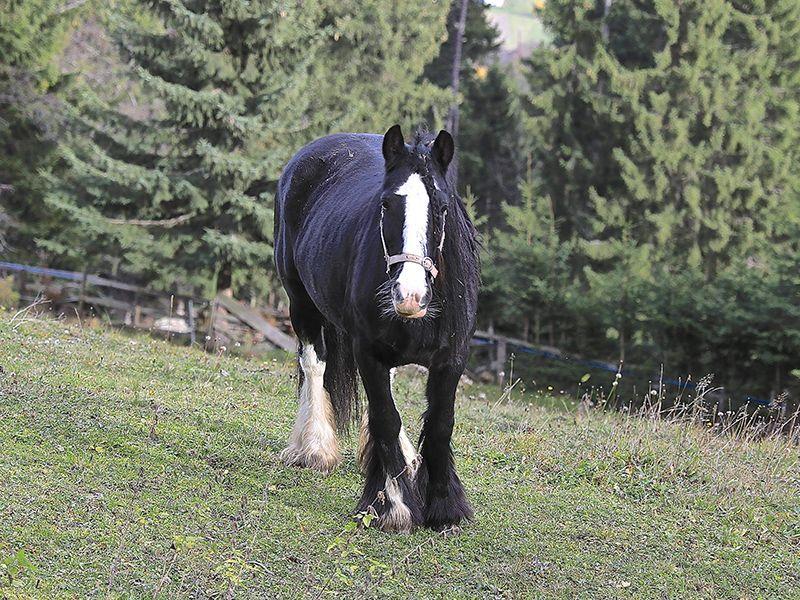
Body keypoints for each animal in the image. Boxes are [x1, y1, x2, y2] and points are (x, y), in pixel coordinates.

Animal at [273, 124, 480, 532]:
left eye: (442, 207)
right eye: (385, 205)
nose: (409, 295)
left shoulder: (452, 357)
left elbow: (440, 423)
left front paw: (445, 507)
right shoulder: (367, 352)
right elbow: (386, 416)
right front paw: (393, 506)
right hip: (300, 302)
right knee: (314, 364)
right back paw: (315, 448)